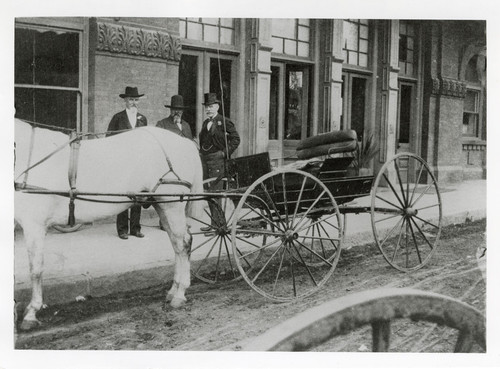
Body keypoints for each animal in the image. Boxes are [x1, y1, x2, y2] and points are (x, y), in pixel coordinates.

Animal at [14, 118, 204, 330]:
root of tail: (185, 142)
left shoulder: (34, 224)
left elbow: (35, 269)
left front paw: (31, 313)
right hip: (162, 205)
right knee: (176, 245)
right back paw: (173, 290)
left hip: (172, 205)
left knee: (183, 243)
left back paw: (180, 294)